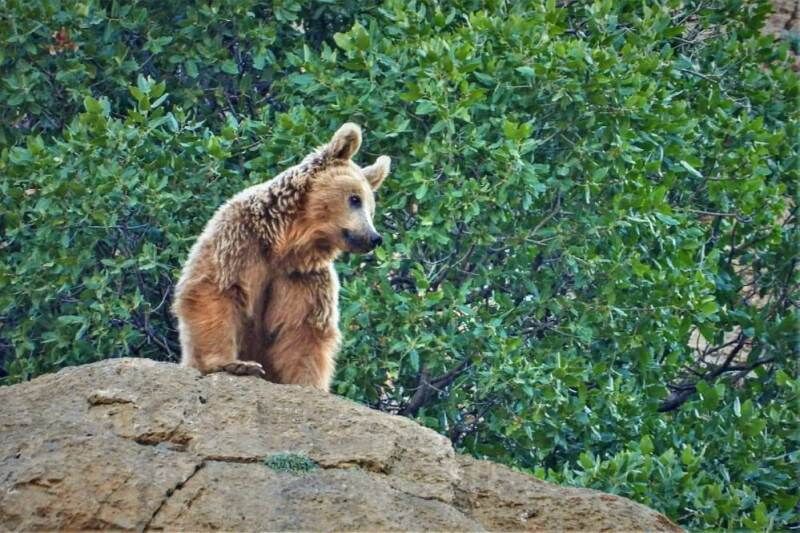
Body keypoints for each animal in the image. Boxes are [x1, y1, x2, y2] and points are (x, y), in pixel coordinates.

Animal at [172, 123, 390, 390]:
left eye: (371, 209)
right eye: (355, 199)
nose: (373, 237)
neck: (283, 244)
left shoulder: (302, 276)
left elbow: (302, 329)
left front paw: (307, 383)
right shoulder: (240, 242)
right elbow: (216, 291)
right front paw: (234, 364)